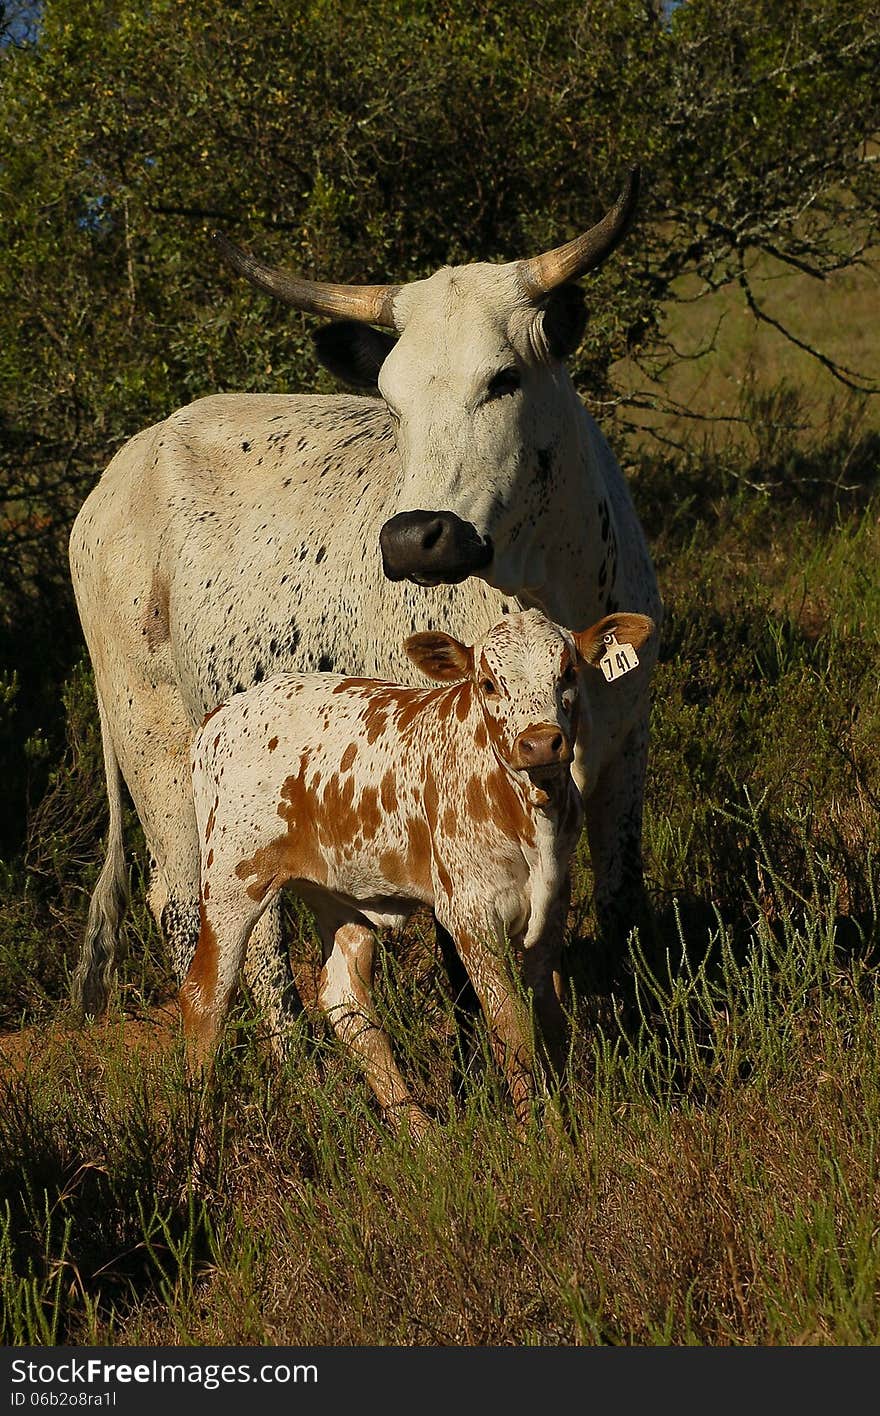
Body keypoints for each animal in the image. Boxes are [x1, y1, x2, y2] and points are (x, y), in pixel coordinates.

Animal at [68, 171, 657, 1047]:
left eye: (505, 378)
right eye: (391, 399)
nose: (416, 537)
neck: (544, 585)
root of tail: (123, 467)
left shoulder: (626, 757)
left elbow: (621, 907)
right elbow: (464, 960)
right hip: (162, 753)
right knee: (205, 918)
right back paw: (292, 1063)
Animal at [184, 606, 651, 1127]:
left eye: (568, 672)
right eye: (488, 683)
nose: (540, 743)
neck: (530, 810)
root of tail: (222, 714)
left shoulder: (551, 904)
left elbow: (550, 1020)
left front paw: (564, 1127)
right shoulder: (470, 914)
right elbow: (511, 1027)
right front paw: (534, 1133)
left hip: (339, 893)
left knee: (345, 999)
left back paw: (420, 1132)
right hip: (232, 880)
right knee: (206, 996)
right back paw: (198, 1134)